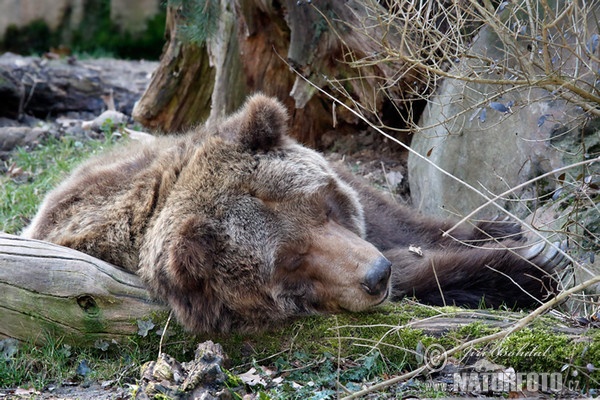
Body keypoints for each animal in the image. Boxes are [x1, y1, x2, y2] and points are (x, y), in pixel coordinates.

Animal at [23, 95, 564, 332]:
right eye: (291, 259)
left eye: (324, 207)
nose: (376, 274)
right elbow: (421, 272)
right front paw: (528, 268)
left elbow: (397, 219)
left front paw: (509, 233)